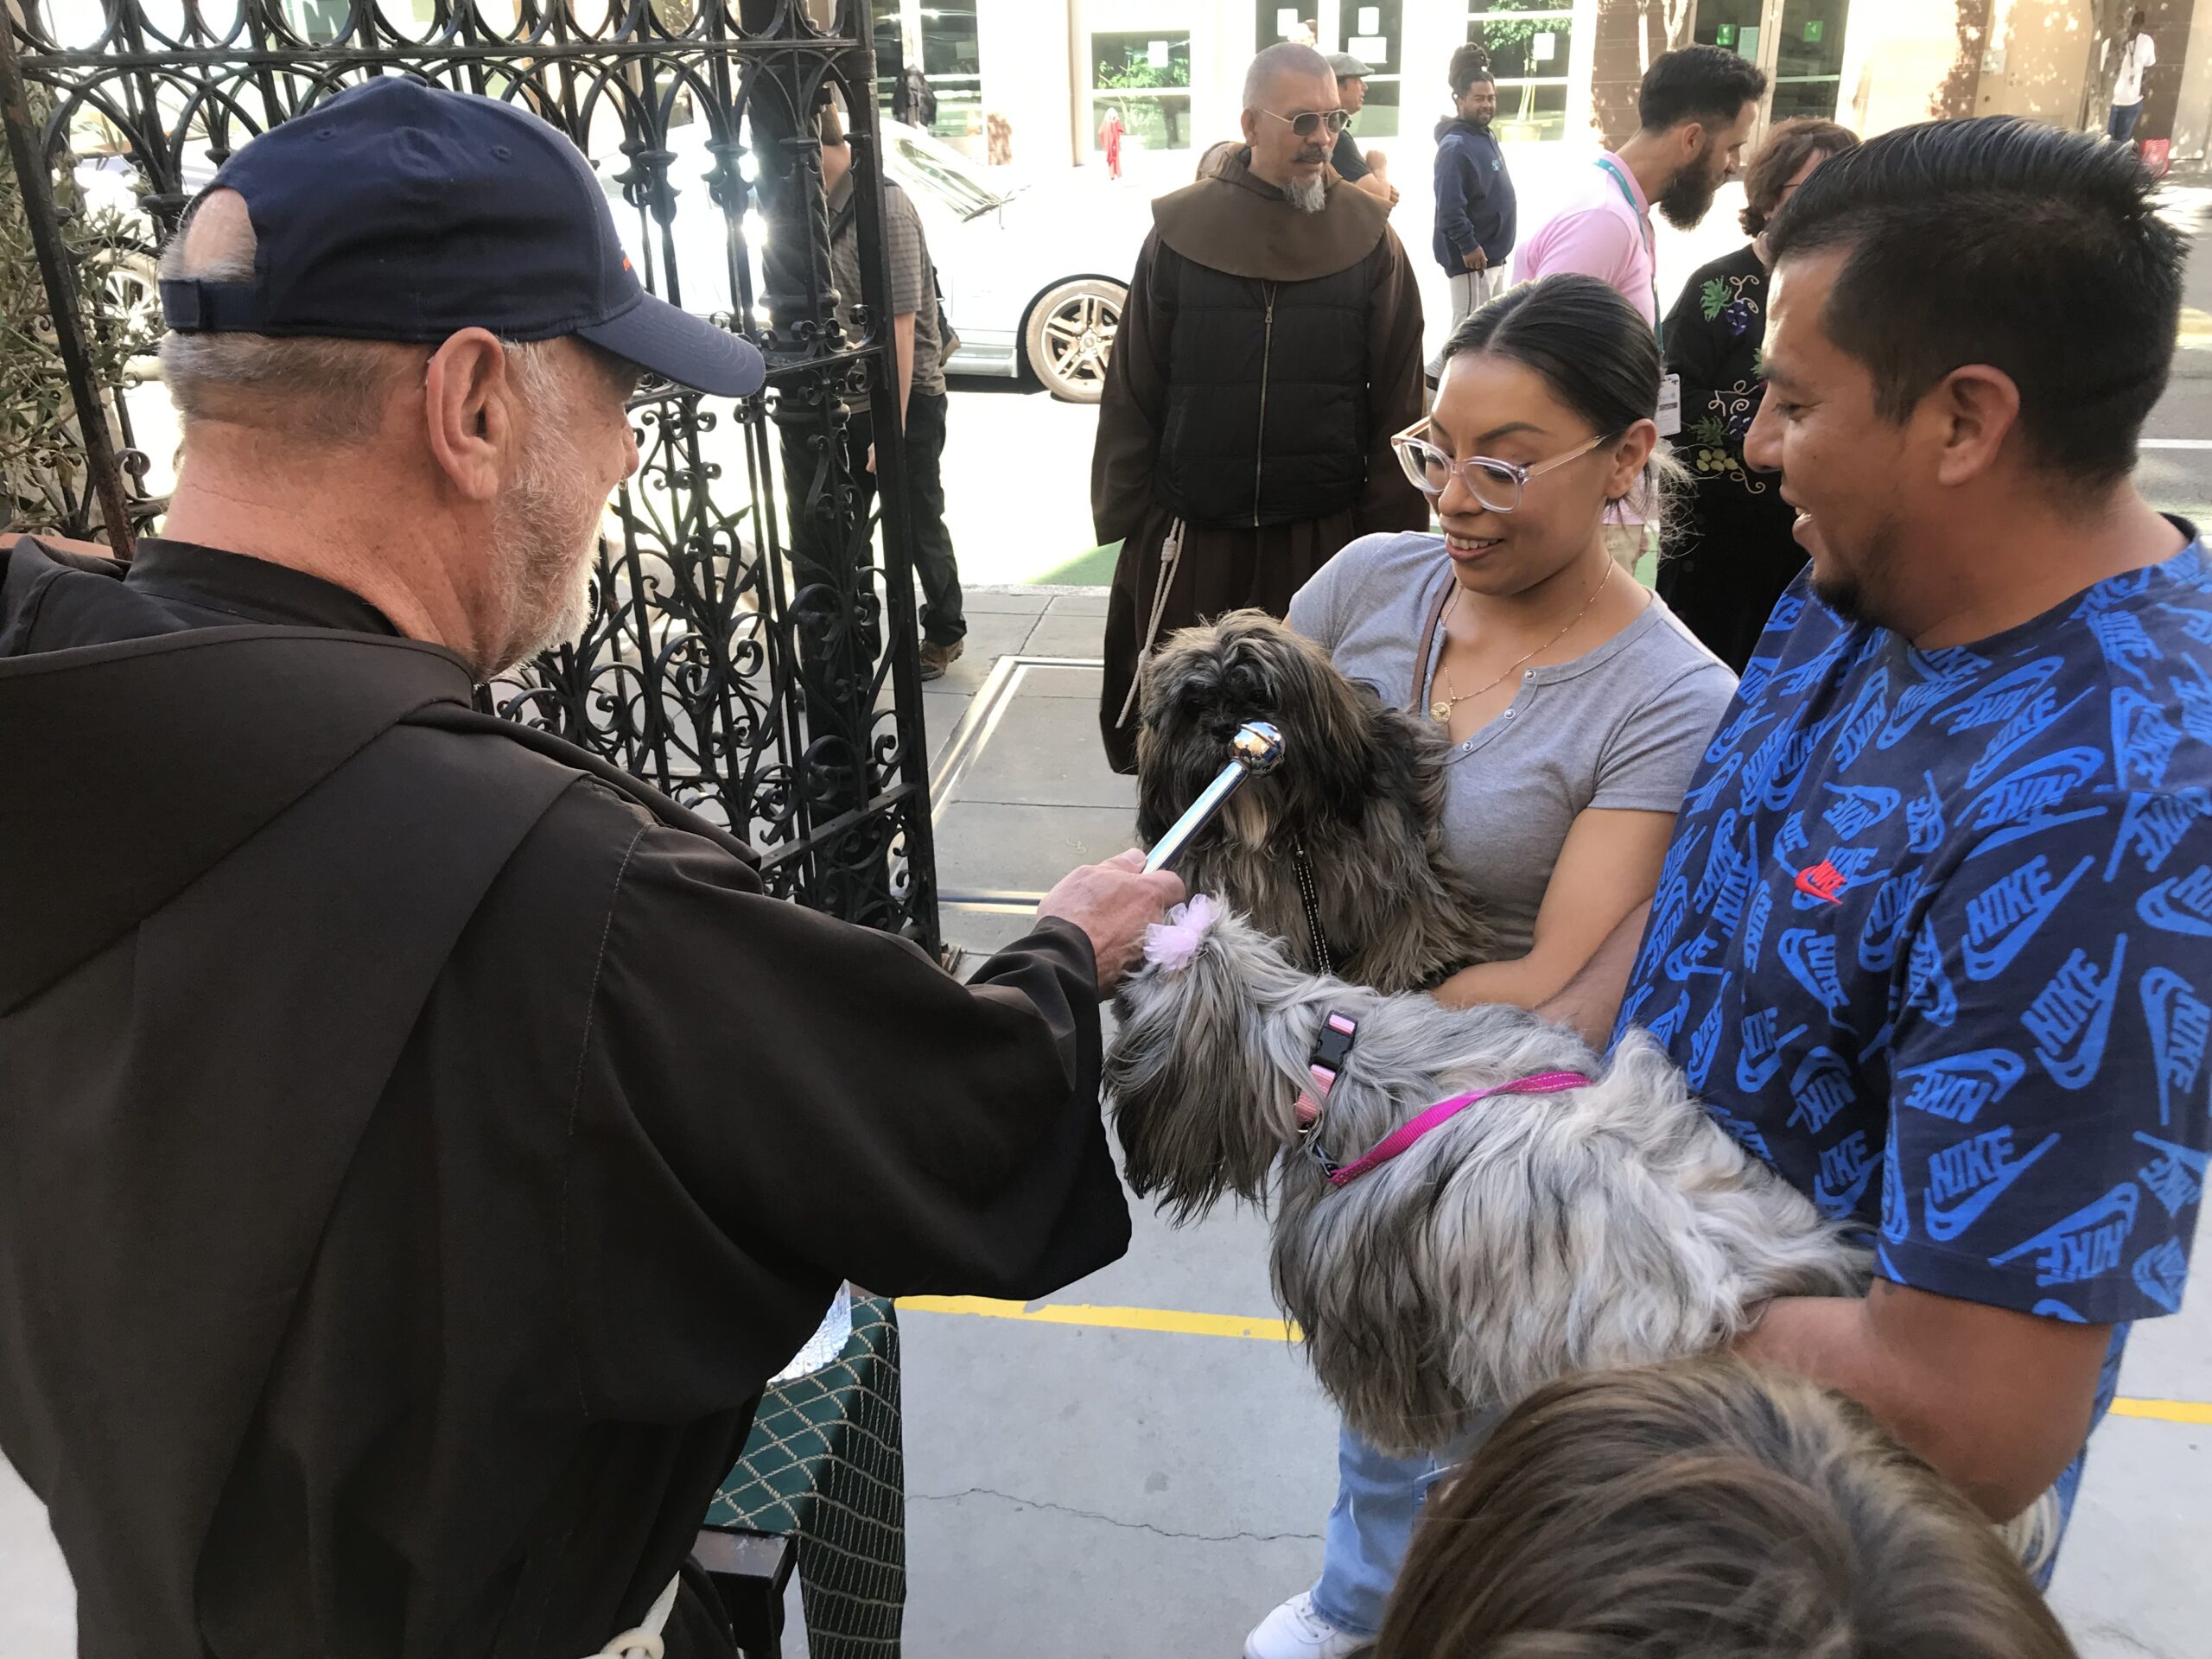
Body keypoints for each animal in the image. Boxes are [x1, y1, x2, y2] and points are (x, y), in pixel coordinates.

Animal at [1141, 614, 1486, 995]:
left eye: (1258, 696)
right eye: (1195, 706)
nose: (1223, 726)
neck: (1279, 826)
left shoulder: (1394, 853)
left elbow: (1409, 910)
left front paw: (1415, 965)